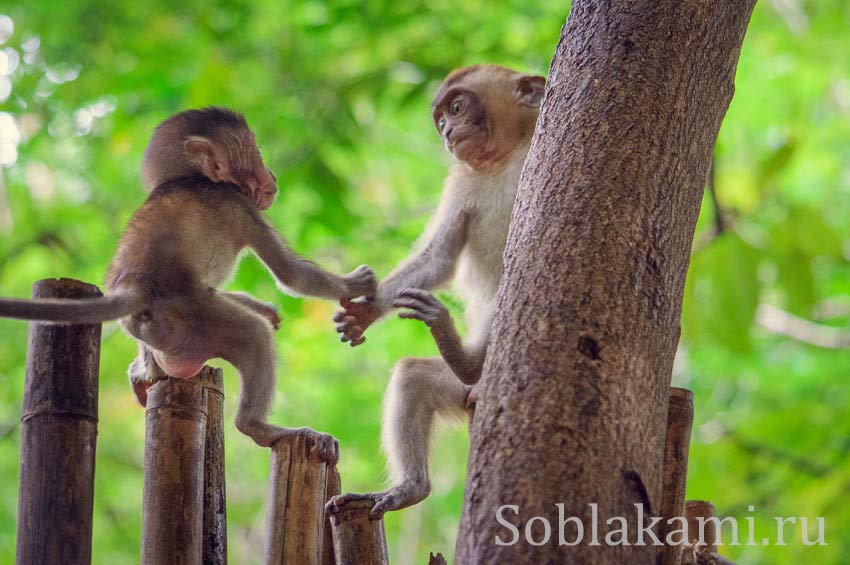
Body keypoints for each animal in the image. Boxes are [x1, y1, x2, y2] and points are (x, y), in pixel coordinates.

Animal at [0, 107, 374, 462]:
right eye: (257, 152)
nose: (272, 176)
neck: (188, 177)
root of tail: (135, 286)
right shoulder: (238, 205)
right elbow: (291, 275)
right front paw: (356, 284)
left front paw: (263, 305)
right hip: (193, 323)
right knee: (253, 334)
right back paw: (258, 427)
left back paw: (144, 374)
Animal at [326, 66, 544, 516]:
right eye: (440, 118)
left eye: (457, 107)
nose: (446, 130)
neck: (507, 155)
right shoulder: (462, 180)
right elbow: (437, 257)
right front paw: (364, 312)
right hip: (462, 397)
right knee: (414, 376)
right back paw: (410, 487)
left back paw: (467, 360)